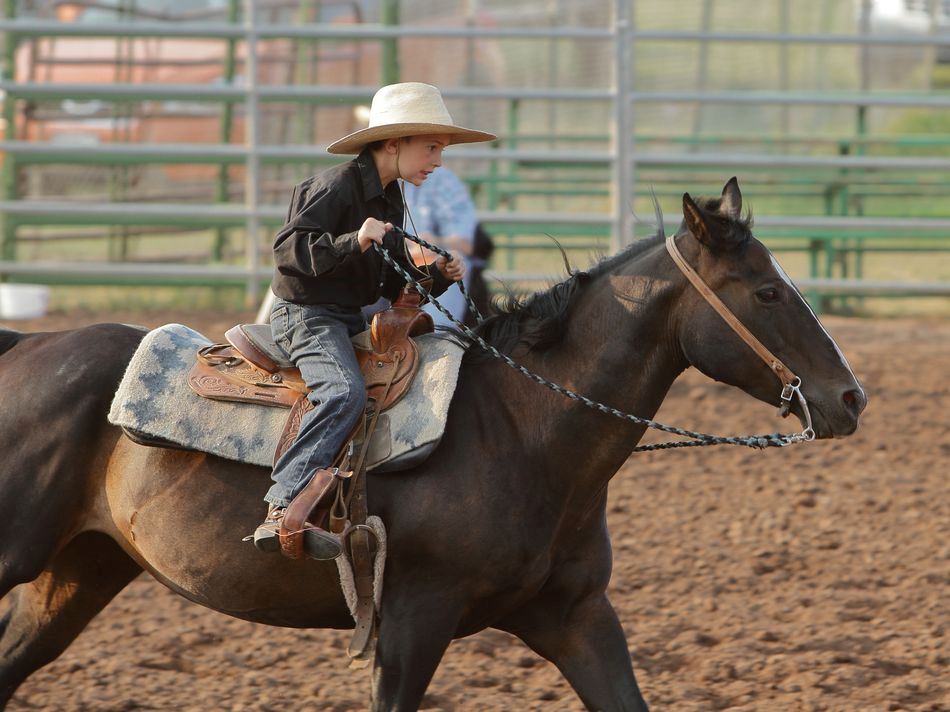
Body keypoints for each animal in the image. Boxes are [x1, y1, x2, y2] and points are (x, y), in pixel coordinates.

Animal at [0, 179, 866, 711]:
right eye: (767, 291)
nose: (849, 398)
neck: (522, 431)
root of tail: (24, 345)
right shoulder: (413, 623)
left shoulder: (578, 618)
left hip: (78, 571)